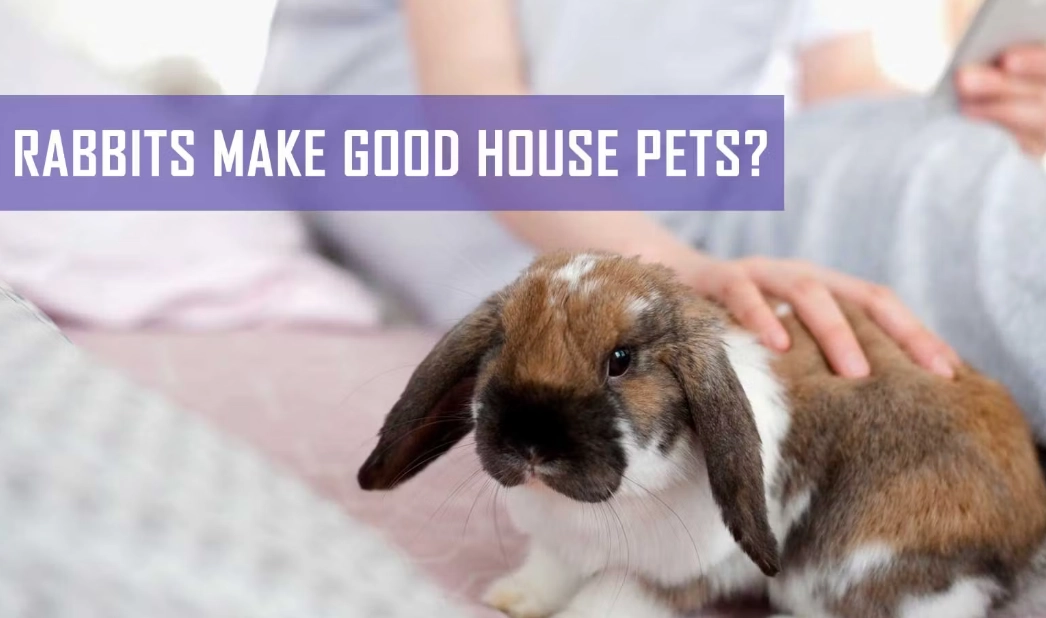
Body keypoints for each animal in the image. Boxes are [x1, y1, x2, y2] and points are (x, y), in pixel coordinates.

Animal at [357, 250, 1046, 618]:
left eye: (621, 359)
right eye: (500, 344)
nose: (529, 444)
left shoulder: (666, 574)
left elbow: (603, 600)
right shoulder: (558, 547)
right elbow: (547, 570)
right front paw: (512, 599)